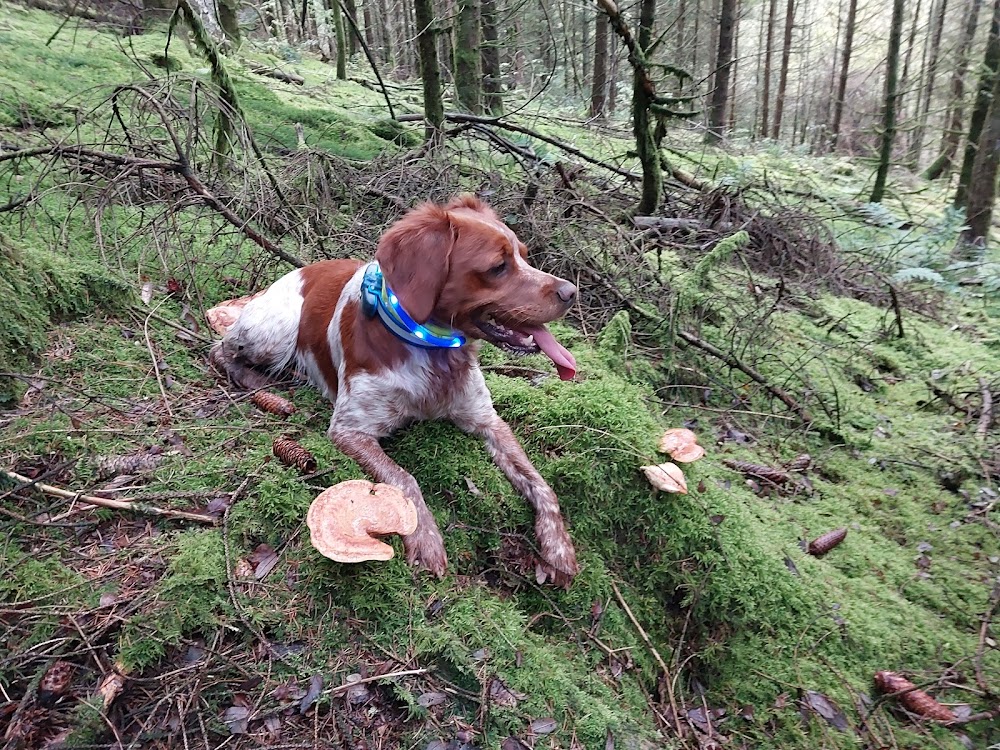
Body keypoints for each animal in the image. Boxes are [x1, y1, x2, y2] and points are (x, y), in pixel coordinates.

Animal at [213, 194, 584, 588]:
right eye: (498, 266)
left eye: (525, 256)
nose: (571, 292)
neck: (430, 346)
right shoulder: (350, 430)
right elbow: (404, 478)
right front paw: (425, 539)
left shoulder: (487, 420)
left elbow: (540, 482)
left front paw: (559, 546)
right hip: (274, 335)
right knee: (219, 349)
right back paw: (256, 383)